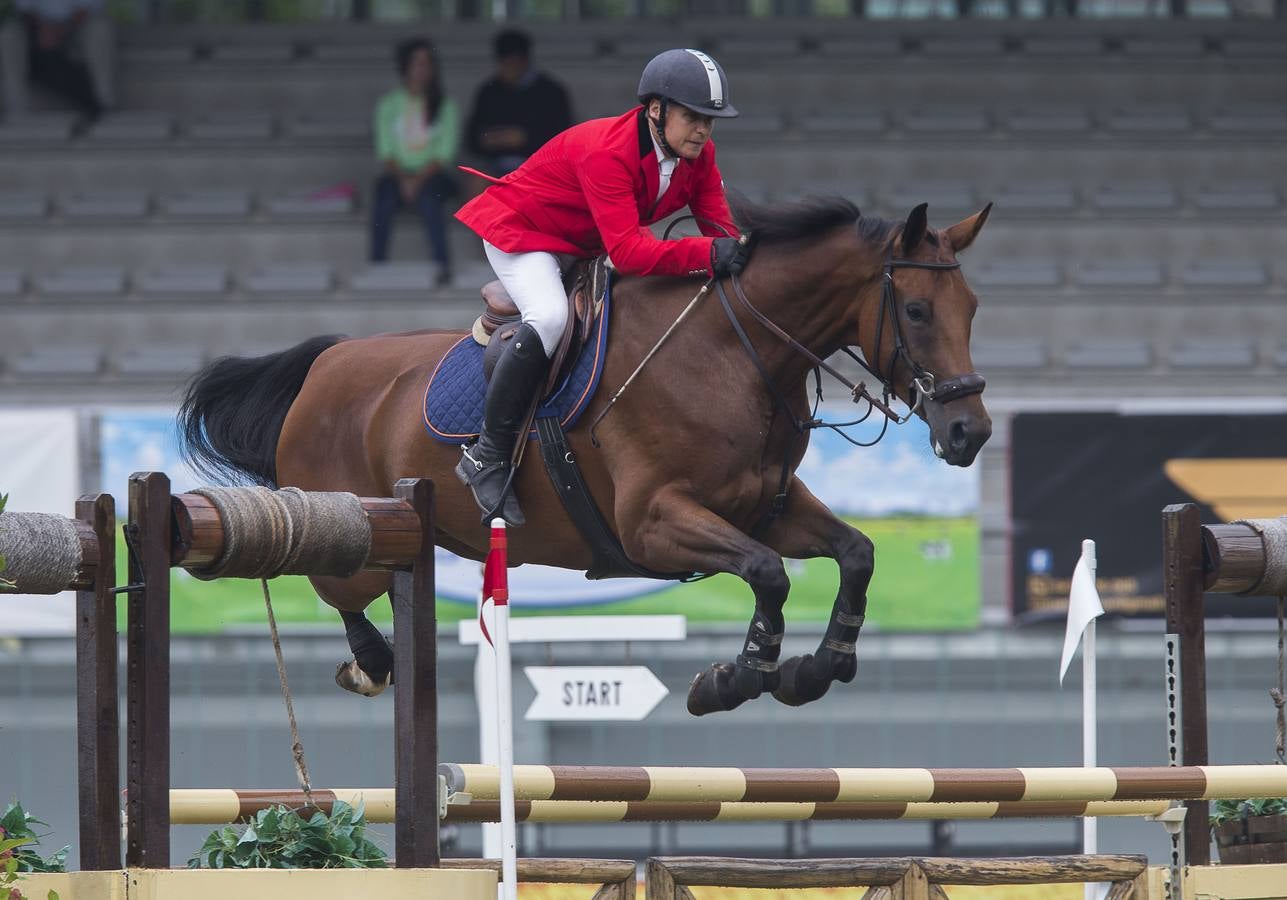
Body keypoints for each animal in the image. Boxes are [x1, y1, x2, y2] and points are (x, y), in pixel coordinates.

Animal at [176, 198, 988, 715]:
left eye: (973, 309)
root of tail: (325, 363)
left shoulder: (769, 505)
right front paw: (735, 678)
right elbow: (767, 574)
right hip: (354, 533)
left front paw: (818, 669)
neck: (733, 355)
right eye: (917, 311)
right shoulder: (654, 523)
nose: (970, 433)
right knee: (343, 592)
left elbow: (854, 554)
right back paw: (370, 664)